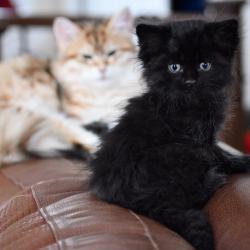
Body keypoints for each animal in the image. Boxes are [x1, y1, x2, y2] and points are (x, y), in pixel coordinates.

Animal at [89, 20, 249, 250]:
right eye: (174, 67)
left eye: (205, 65)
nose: (190, 81)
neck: (190, 103)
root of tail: (134, 199)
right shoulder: (200, 141)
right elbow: (220, 155)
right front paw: (243, 162)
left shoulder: (207, 137)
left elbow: (221, 152)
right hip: (181, 152)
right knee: (186, 197)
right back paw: (213, 179)